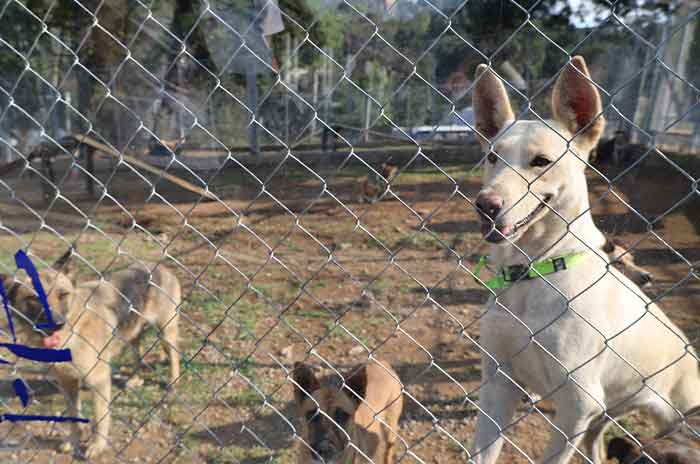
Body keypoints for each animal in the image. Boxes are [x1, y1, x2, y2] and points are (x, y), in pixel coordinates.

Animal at [2, 260, 182, 458]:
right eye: (33, 298)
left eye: (63, 294)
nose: (57, 324)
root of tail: (159, 267)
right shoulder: (67, 383)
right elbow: (74, 417)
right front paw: (73, 440)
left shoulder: (99, 380)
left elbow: (100, 417)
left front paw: (97, 446)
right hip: (133, 331)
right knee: (138, 352)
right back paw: (135, 379)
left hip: (165, 331)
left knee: (174, 356)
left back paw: (173, 383)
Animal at [468, 57, 700, 464]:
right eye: (492, 157)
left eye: (541, 162)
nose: (485, 206)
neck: (534, 272)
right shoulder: (497, 385)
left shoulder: (576, 405)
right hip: (605, 414)